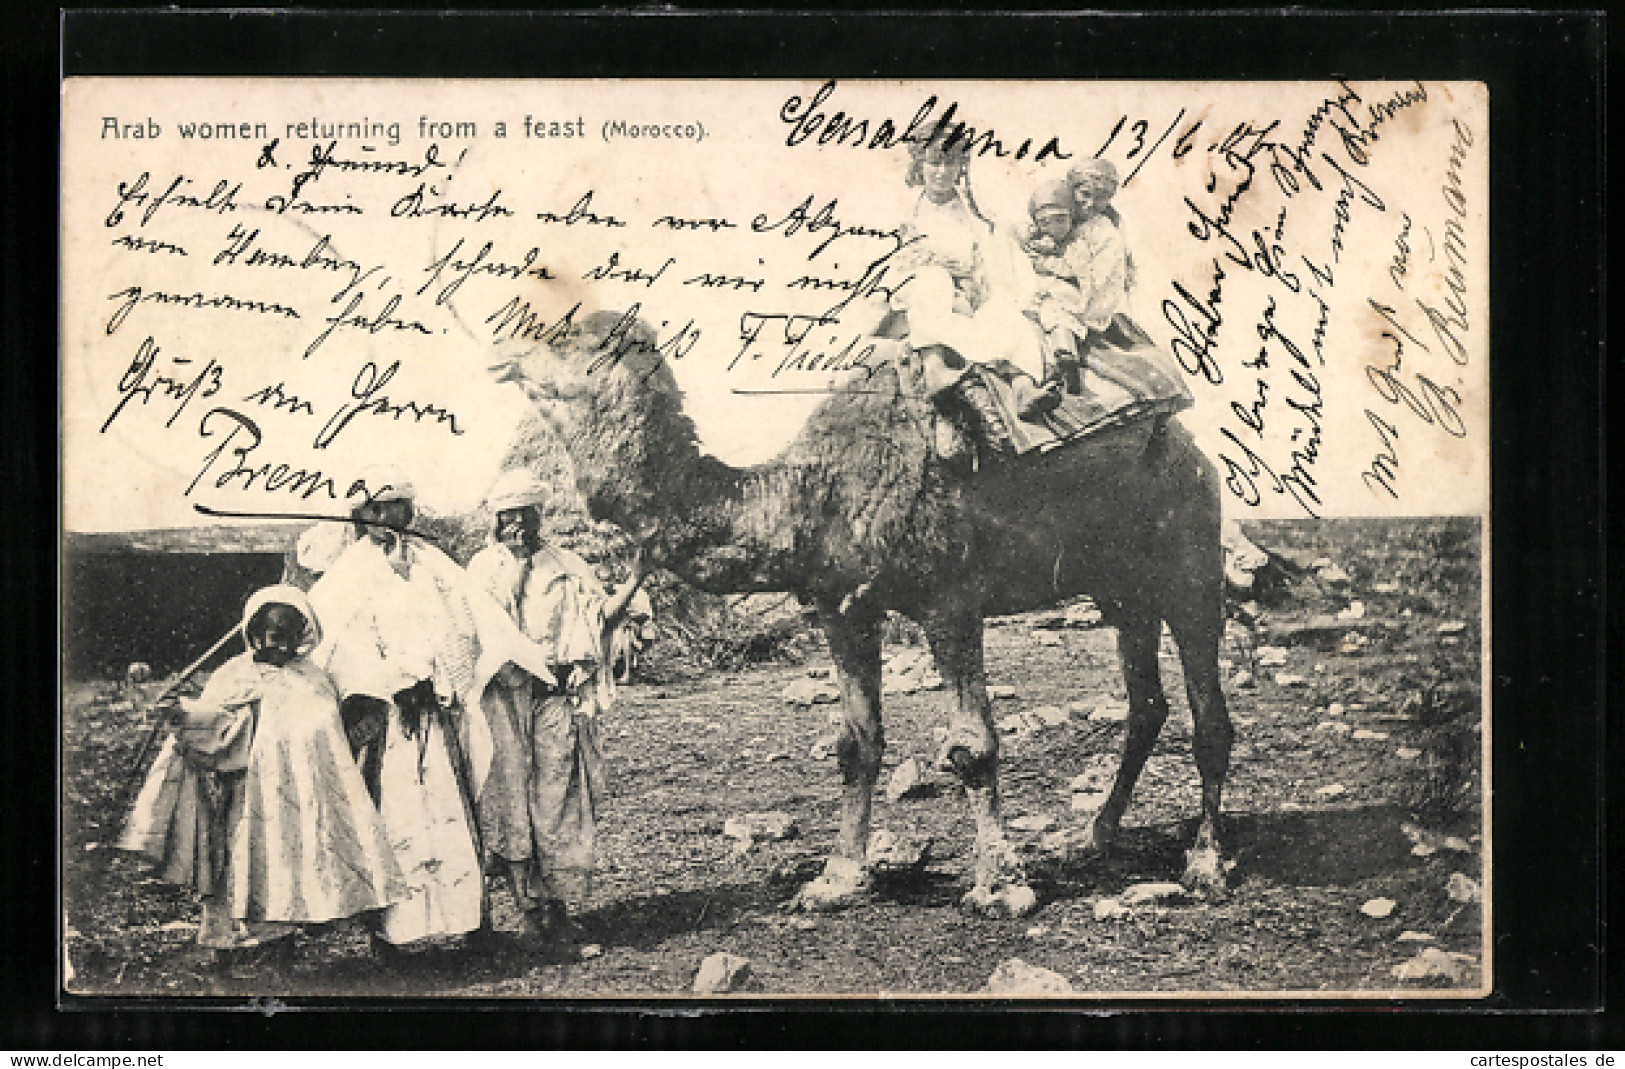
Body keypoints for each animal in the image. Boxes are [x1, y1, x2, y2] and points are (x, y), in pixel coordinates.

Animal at [490, 305, 1228, 909]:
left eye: (565, 337)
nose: (499, 344)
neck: (805, 493)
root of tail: (1193, 448)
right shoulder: (841, 610)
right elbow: (856, 744)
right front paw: (837, 879)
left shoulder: (949, 601)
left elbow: (973, 746)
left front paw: (1000, 885)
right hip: (1121, 587)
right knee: (1146, 702)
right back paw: (1095, 834)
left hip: (1189, 555)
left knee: (1208, 713)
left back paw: (1204, 861)